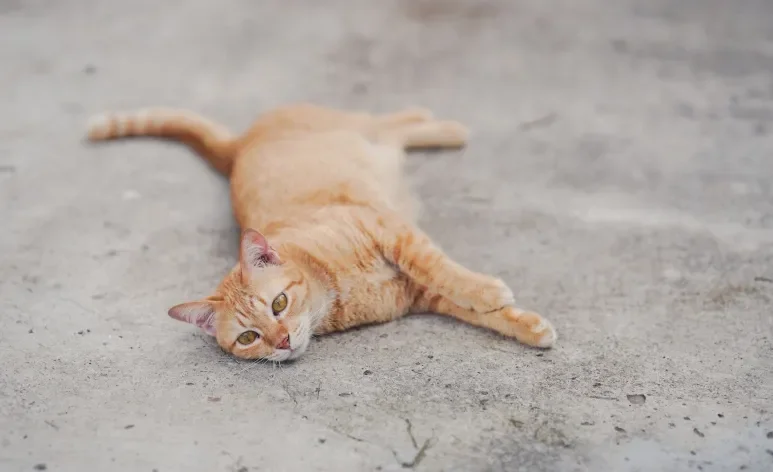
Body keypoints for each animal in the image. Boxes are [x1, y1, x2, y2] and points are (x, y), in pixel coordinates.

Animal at [86, 104, 556, 362]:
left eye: (278, 303)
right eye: (249, 337)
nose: (281, 342)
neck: (335, 289)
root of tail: (237, 147)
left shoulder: (388, 229)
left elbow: (443, 270)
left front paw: (488, 291)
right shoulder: (418, 294)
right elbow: (481, 313)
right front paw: (529, 325)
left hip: (356, 131)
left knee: (392, 120)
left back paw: (444, 126)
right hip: (374, 144)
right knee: (394, 130)